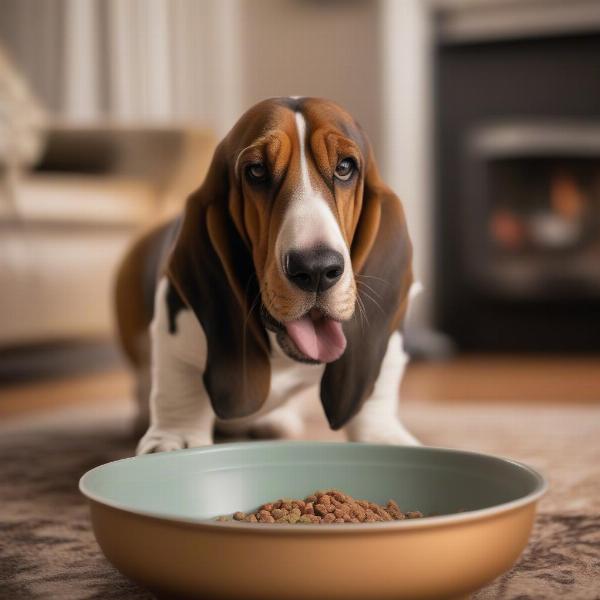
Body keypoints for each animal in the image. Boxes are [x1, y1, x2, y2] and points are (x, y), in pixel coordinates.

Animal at [115, 98, 420, 454]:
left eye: (345, 167)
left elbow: (379, 384)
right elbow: (179, 382)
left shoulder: (388, 344)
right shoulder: (173, 327)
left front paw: (384, 437)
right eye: (257, 171)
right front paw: (174, 439)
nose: (316, 269)